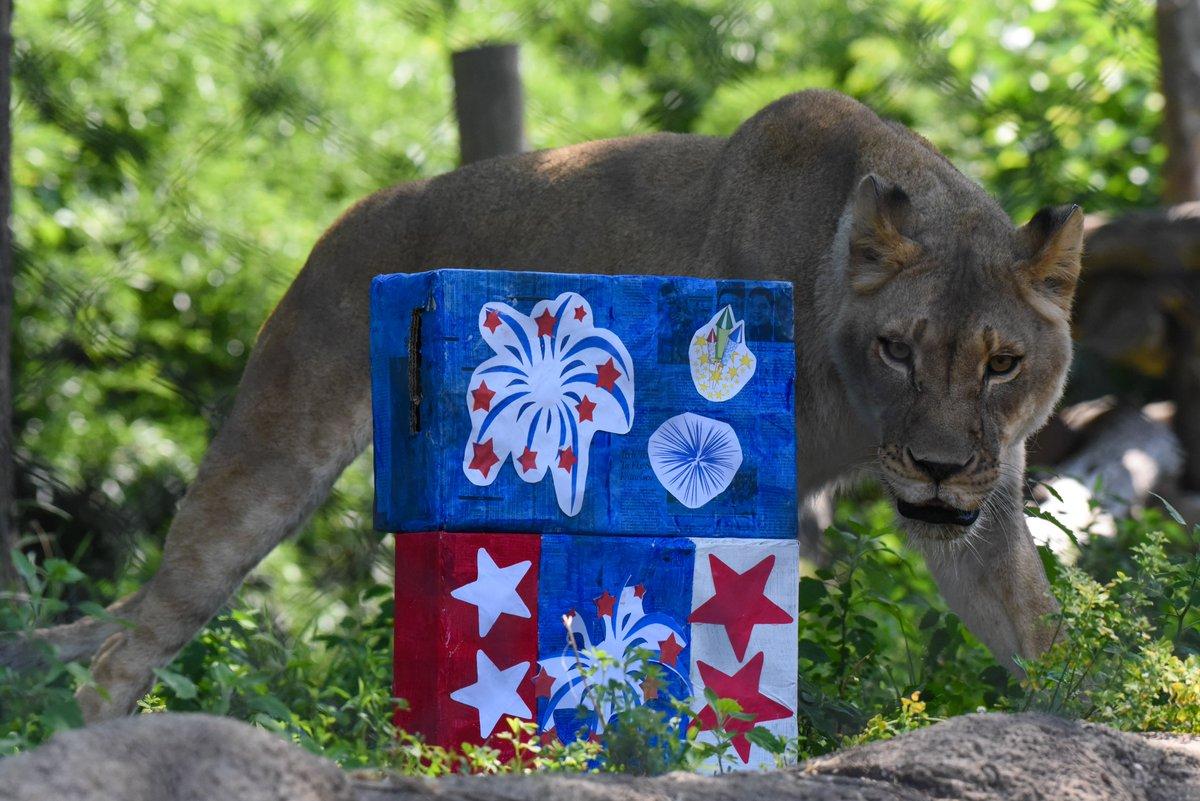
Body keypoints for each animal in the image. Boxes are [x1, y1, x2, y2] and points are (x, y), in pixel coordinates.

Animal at [6, 89, 1080, 723]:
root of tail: (346, 216)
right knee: (132, 642)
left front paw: (1095, 711)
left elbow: (1036, 627)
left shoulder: (982, 510)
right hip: (272, 451)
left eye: (1002, 363)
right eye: (899, 349)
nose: (937, 465)